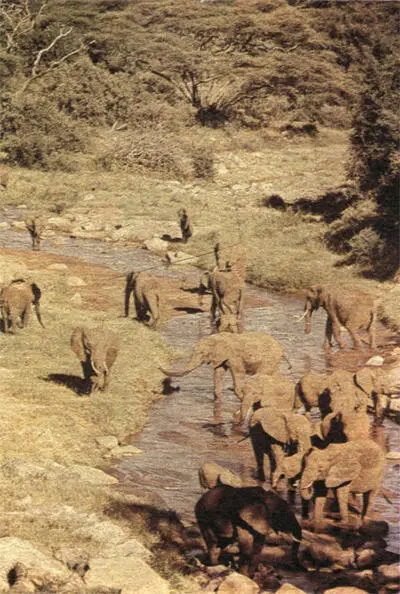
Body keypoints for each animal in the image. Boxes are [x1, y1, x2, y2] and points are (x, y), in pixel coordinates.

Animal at [161, 330, 290, 400]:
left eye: (202, 353)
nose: (177, 387)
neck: (218, 337)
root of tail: (282, 349)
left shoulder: (234, 357)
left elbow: (239, 373)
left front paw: (241, 397)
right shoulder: (221, 358)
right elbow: (219, 373)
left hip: (269, 359)